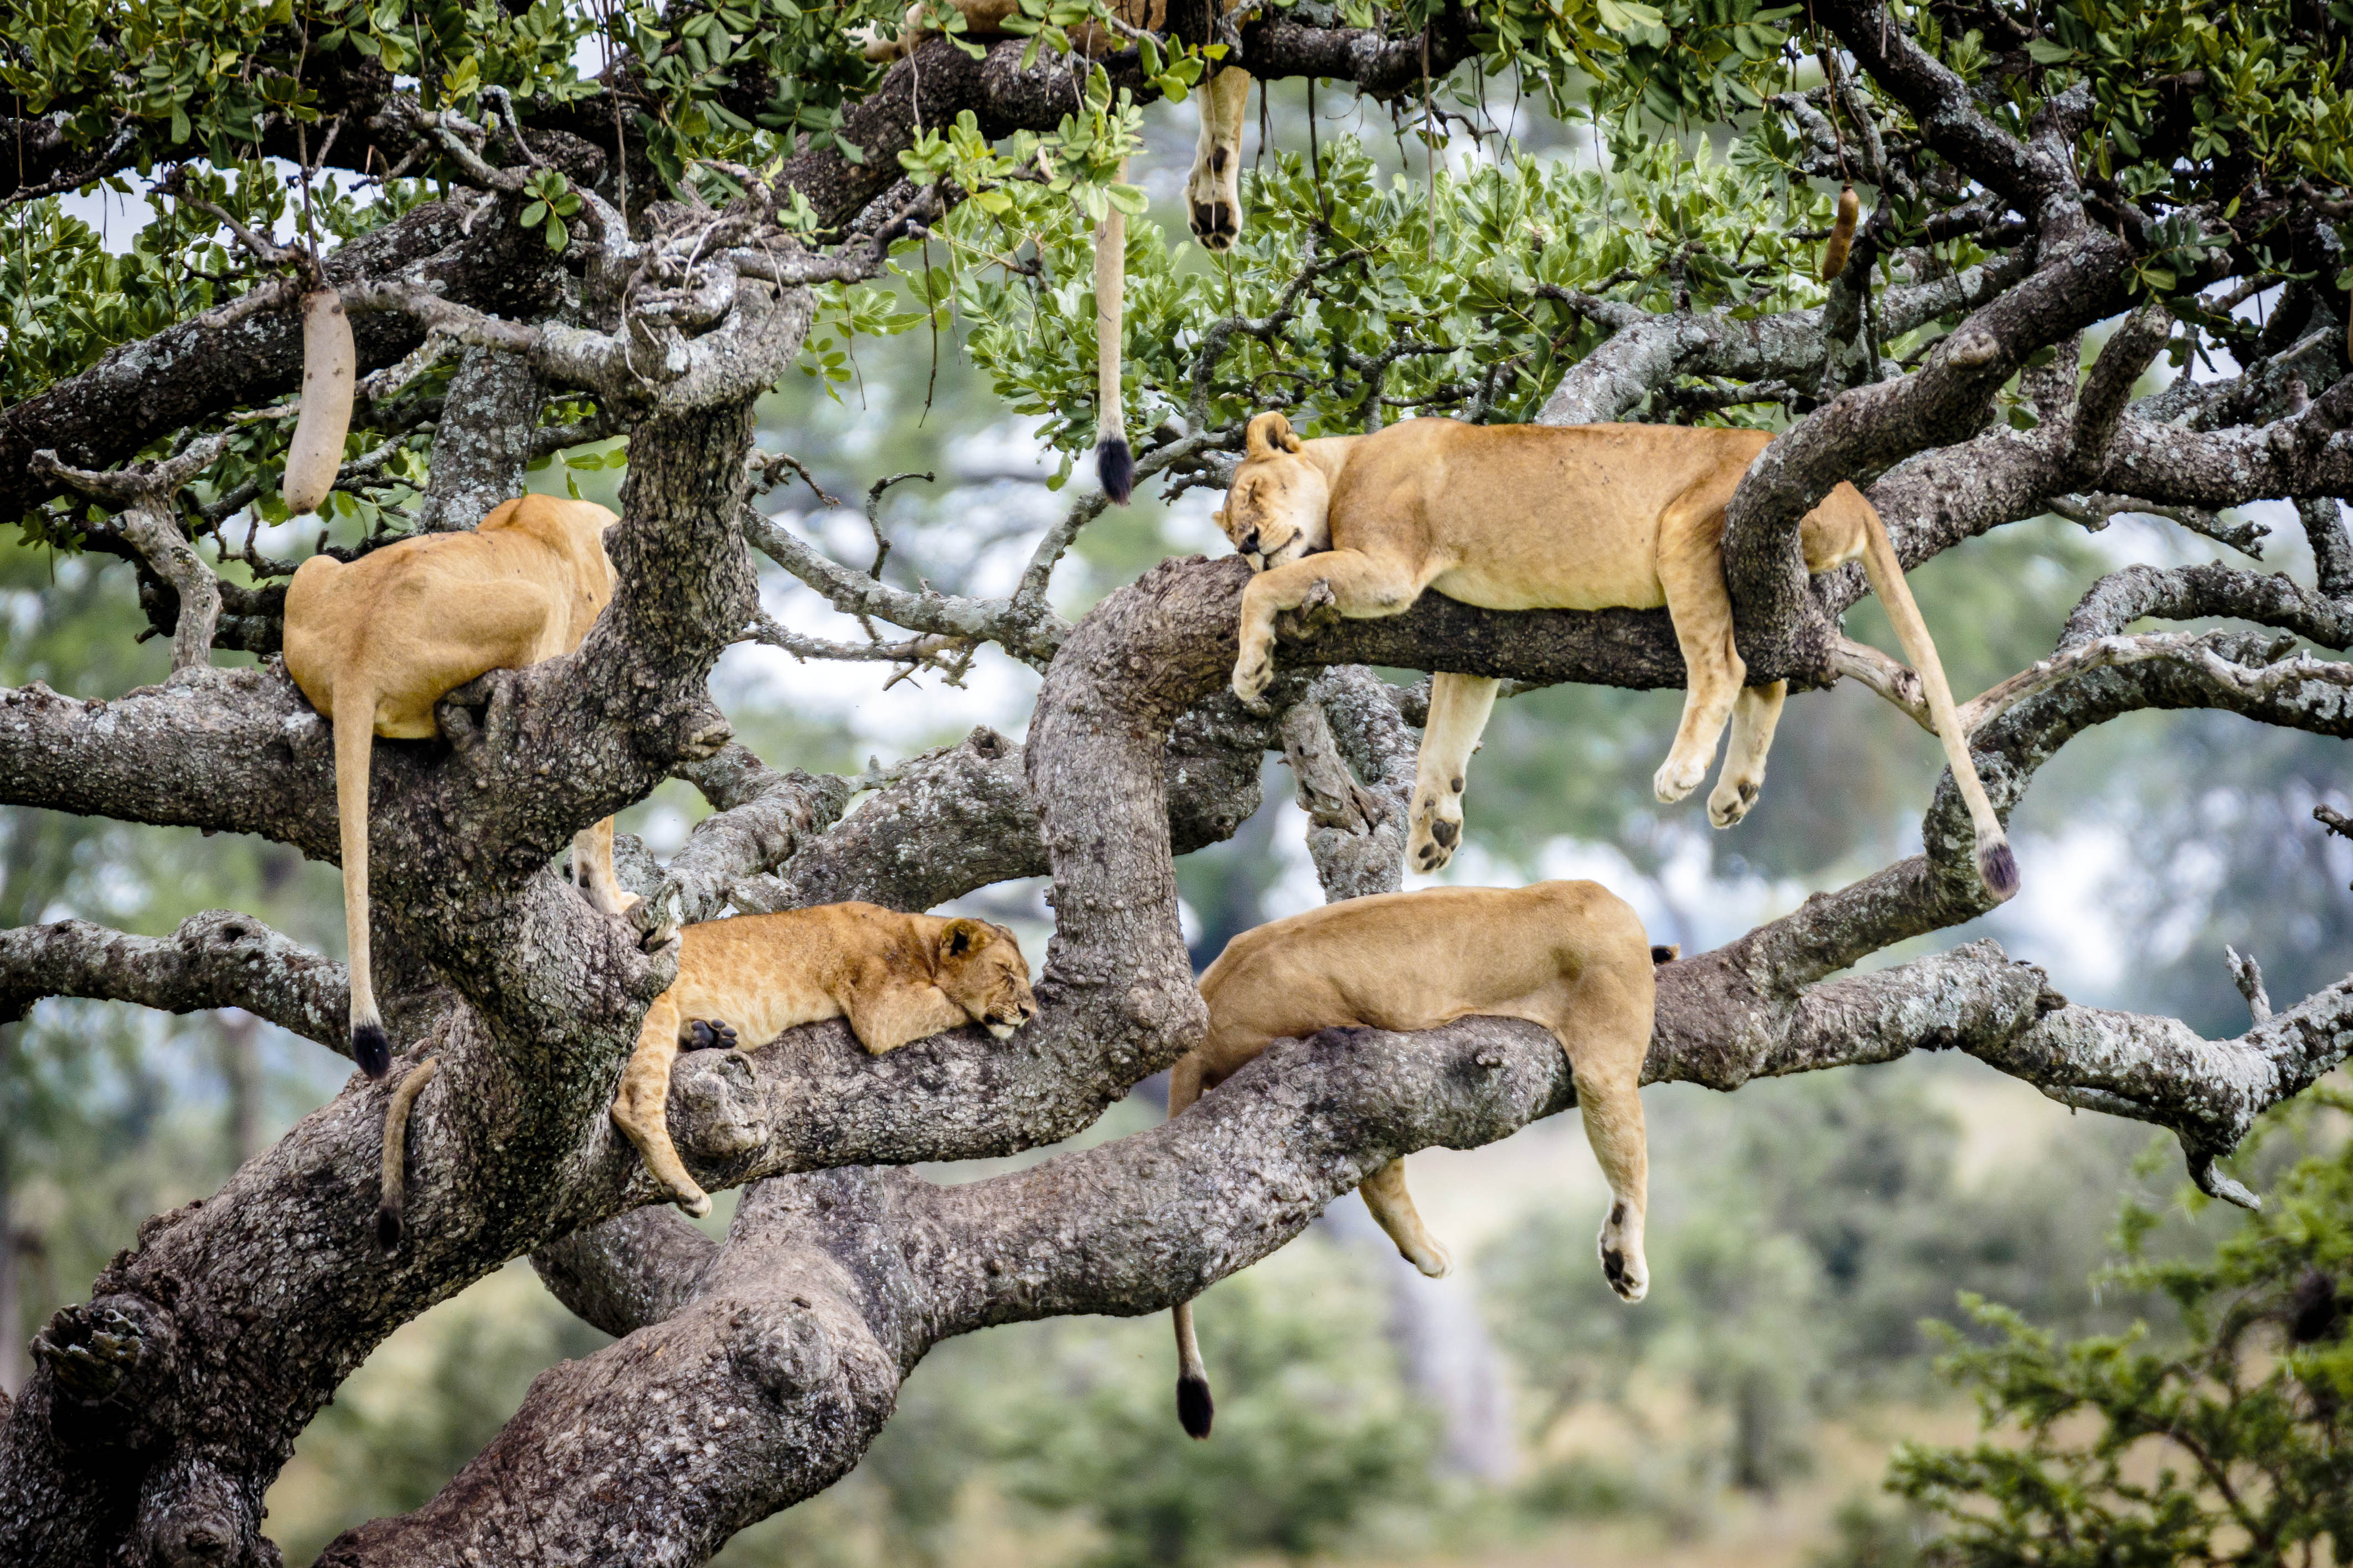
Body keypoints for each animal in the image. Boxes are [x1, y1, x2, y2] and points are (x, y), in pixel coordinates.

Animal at [612, 902, 1035, 1222]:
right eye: (1005, 972)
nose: (1030, 1012)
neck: (920, 943)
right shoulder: (881, 1010)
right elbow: (952, 1003)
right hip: (656, 1012)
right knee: (632, 1105)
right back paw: (687, 1191)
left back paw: (710, 1035)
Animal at [1172, 884, 1657, 1438]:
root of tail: (1208, 1002)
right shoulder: (1606, 1059)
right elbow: (1632, 1168)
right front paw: (1627, 1264)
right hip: (1361, 1073)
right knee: (1381, 1179)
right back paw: (1430, 1255)